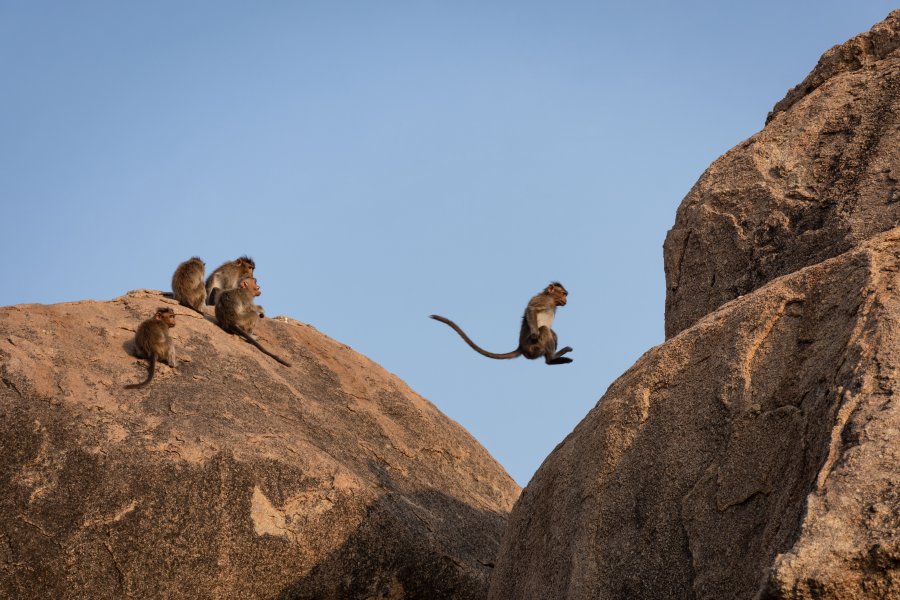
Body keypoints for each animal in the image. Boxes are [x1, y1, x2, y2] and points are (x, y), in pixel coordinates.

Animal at [430, 282, 572, 366]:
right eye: (563, 294)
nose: (566, 300)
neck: (552, 301)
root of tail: (521, 347)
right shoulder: (544, 300)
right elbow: (531, 310)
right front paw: (534, 333)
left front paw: (555, 336)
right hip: (533, 348)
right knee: (544, 330)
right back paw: (551, 358)